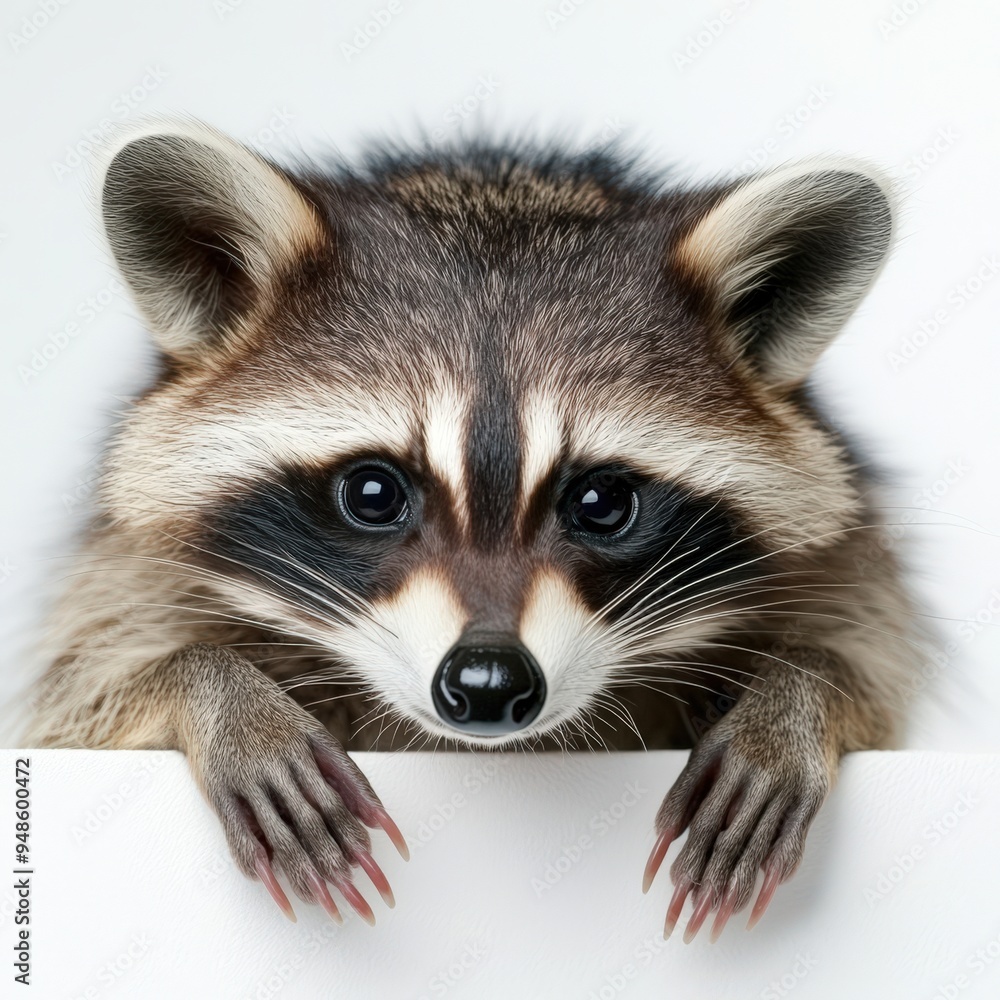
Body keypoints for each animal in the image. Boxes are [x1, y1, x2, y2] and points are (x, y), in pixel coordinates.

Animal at [25, 118, 917, 941]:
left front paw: (796, 695)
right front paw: (214, 689)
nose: (488, 684)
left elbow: (869, 672)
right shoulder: (125, 580)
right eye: (373, 493)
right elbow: (81, 698)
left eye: (601, 502)